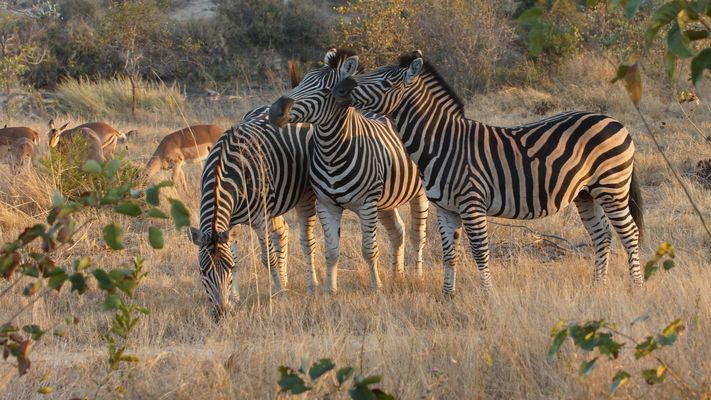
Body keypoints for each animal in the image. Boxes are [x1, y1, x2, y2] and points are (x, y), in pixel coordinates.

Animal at [187, 106, 316, 320]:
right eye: (203, 272)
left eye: (228, 269)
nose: (221, 313)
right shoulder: (229, 223)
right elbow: (236, 257)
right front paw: (234, 299)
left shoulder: (260, 220)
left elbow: (268, 259)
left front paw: (279, 294)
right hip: (276, 202)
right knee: (282, 231)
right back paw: (285, 280)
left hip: (305, 195)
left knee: (307, 240)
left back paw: (311, 285)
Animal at [269, 49, 428, 294]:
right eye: (302, 82)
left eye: (325, 91)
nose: (275, 111)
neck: (331, 154)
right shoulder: (327, 205)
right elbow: (331, 250)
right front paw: (330, 290)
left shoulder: (367, 205)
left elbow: (369, 249)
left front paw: (376, 287)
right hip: (386, 201)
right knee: (398, 231)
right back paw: (397, 274)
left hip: (417, 193)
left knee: (417, 235)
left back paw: (417, 275)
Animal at [332, 50, 644, 295]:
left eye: (385, 81)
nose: (342, 87)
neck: (443, 144)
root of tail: (617, 122)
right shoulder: (446, 209)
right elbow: (449, 253)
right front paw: (447, 295)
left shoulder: (472, 203)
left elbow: (480, 252)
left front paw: (487, 294)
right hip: (586, 193)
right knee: (602, 235)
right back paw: (598, 285)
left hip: (612, 187)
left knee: (629, 233)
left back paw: (636, 285)